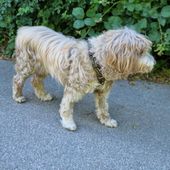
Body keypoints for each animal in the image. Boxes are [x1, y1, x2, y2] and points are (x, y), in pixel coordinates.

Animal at [12, 26, 155, 130]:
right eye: (141, 52)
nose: (153, 64)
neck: (96, 60)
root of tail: (25, 29)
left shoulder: (102, 92)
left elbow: (103, 108)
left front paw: (106, 120)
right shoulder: (72, 89)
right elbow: (66, 106)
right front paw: (68, 122)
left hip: (43, 68)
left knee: (36, 80)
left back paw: (43, 95)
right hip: (27, 65)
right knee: (17, 79)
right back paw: (18, 96)